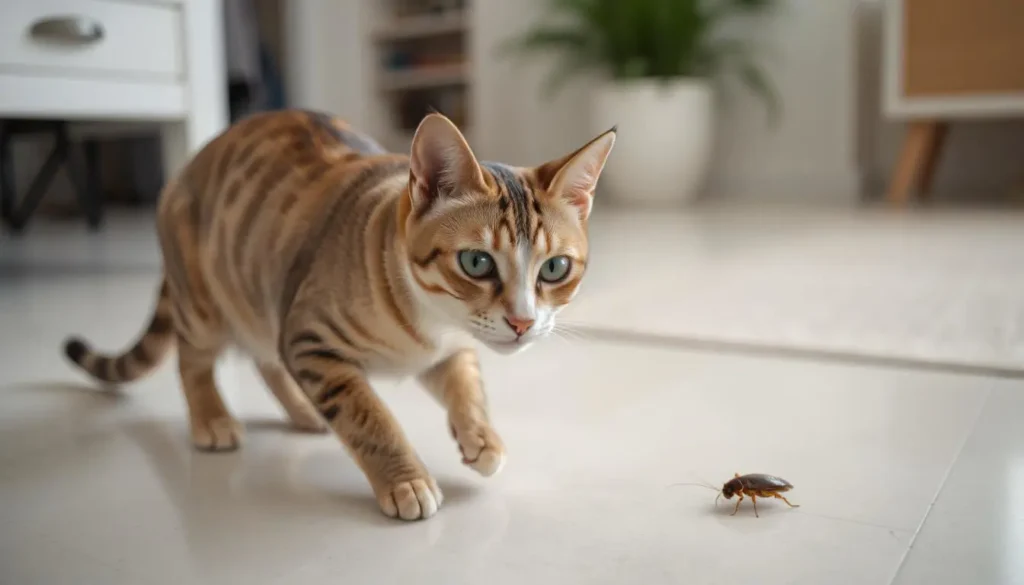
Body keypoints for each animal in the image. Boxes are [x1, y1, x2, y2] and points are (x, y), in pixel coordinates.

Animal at [66, 109, 614, 522]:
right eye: (476, 262)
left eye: (555, 268)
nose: (523, 322)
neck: (428, 324)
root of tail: (188, 166)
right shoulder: (312, 339)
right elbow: (368, 416)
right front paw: (405, 479)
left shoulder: (445, 349)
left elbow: (468, 387)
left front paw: (481, 438)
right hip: (206, 300)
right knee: (194, 360)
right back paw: (213, 419)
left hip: (266, 298)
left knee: (267, 357)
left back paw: (303, 411)